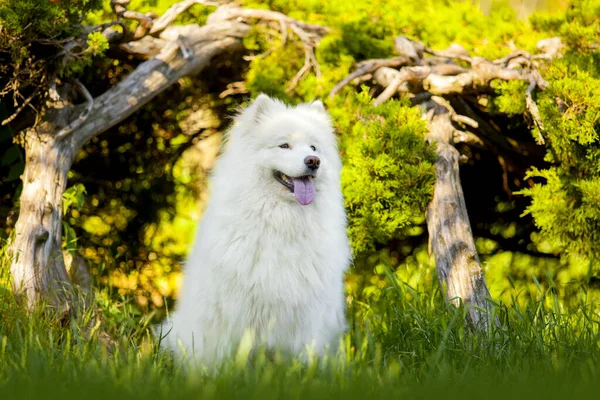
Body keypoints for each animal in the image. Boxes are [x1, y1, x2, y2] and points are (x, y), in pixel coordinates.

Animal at [159, 94, 352, 368]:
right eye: (284, 146)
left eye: (313, 148)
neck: (282, 220)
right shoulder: (240, 307)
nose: (313, 161)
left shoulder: (307, 313)